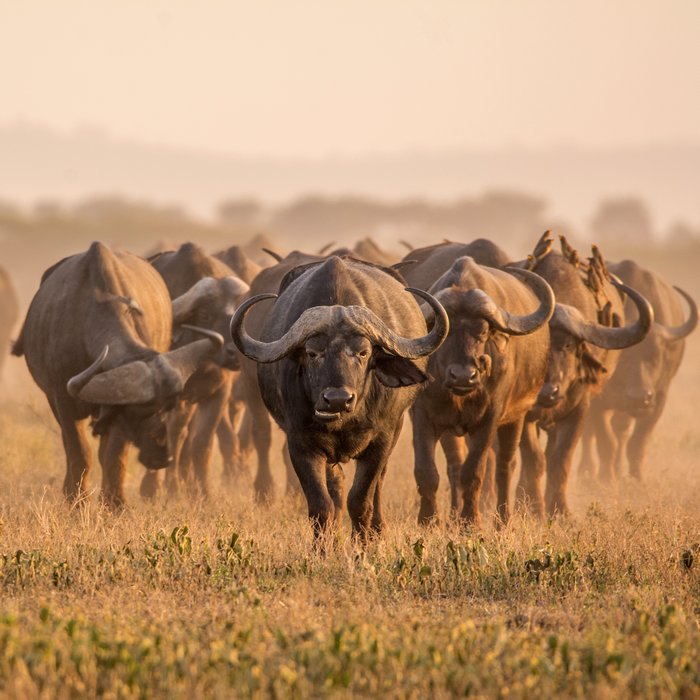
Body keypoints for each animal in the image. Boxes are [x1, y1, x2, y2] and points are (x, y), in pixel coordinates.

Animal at [13, 243, 221, 506]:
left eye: (167, 408)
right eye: (138, 412)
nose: (162, 457)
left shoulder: (115, 415)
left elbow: (114, 455)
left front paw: (115, 503)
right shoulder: (64, 400)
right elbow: (79, 452)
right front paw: (76, 501)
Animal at [230, 254, 448, 540]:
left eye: (364, 352)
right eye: (312, 353)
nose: (337, 399)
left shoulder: (380, 440)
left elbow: (361, 501)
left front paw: (363, 544)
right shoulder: (301, 444)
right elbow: (322, 505)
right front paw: (324, 547)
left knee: (377, 484)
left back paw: (377, 529)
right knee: (336, 488)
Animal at [410, 254, 552, 524]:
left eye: (483, 331)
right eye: (445, 332)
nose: (464, 376)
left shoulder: (488, 420)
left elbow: (474, 472)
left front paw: (470, 522)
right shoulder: (423, 416)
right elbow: (427, 472)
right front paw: (429, 521)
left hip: (516, 417)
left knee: (505, 466)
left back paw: (502, 520)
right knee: (454, 466)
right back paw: (453, 518)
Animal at [516, 235, 652, 516]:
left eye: (568, 346)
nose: (548, 391)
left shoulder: (580, 409)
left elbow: (560, 458)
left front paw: (560, 510)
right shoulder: (523, 412)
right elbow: (533, 458)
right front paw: (533, 507)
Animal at [576, 260, 696, 484]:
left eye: (655, 356)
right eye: (622, 358)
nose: (639, 397)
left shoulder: (659, 399)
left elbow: (637, 442)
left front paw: (636, 478)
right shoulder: (597, 400)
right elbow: (605, 441)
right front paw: (607, 478)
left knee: (621, 430)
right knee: (590, 435)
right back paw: (588, 470)